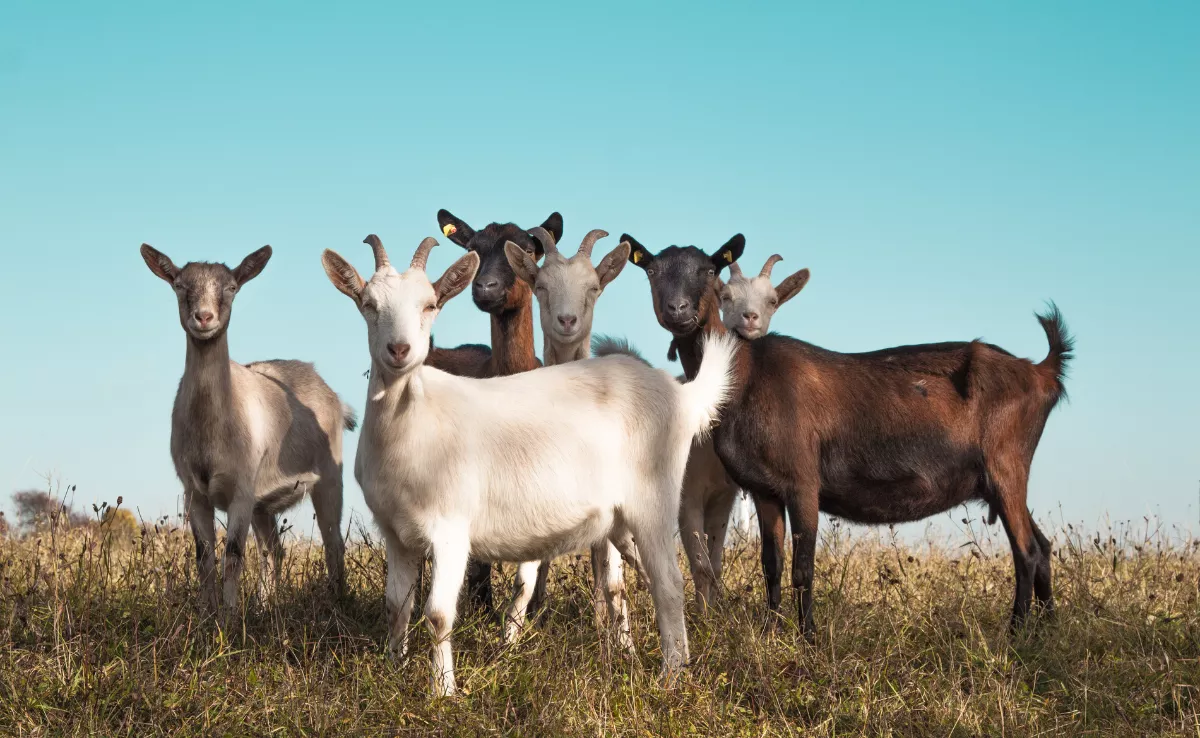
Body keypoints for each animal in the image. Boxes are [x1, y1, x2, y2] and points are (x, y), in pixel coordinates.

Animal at [140, 244, 353, 615]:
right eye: (179, 285)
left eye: (232, 287)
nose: (204, 318)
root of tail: (333, 396)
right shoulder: (194, 492)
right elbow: (204, 557)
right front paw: (206, 614)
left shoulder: (240, 489)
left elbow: (234, 555)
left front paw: (227, 617)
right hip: (263, 504)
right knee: (274, 549)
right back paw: (265, 606)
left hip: (329, 478)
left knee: (333, 542)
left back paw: (336, 603)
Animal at [504, 227, 638, 645]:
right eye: (541, 286)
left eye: (594, 287)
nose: (567, 320)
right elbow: (524, 580)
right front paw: (507, 642)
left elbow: (615, 582)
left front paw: (625, 648)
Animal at [622, 233, 748, 609]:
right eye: (651, 271)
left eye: (709, 269)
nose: (677, 309)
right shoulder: (686, 495)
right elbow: (700, 563)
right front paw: (704, 615)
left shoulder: (723, 495)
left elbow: (714, 562)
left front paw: (716, 611)